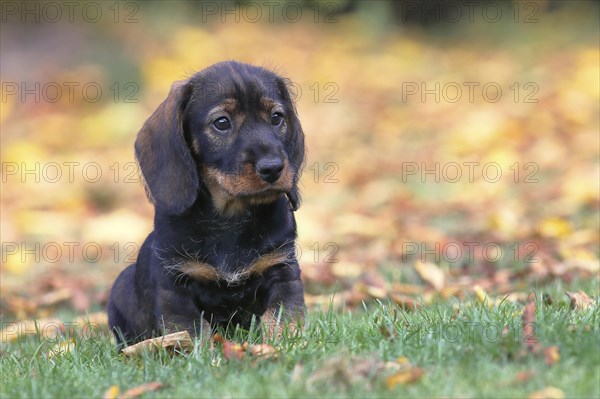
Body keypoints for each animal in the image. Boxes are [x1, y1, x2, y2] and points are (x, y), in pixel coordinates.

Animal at [106, 61, 304, 348]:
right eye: (221, 122)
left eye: (277, 117)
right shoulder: (175, 286)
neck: (230, 218)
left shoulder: (283, 271)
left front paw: (285, 345)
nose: (273, 168)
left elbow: (282, 318)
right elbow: (194, 331)